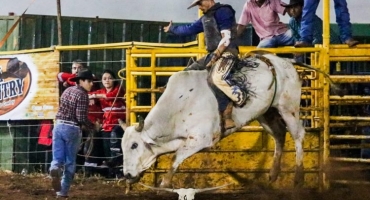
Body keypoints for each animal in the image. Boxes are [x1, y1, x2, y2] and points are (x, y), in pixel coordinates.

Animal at [120, 52, 306, 188]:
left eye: (134, 145)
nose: (127, 174)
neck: (178, 106)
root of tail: (284, 60)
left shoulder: (203, 139)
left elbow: (176, 157)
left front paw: (165, 183)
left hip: (288, 107)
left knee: (298, 134)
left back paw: (298, 177)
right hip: (265, 113)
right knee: (279, 135)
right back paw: (273, 174)